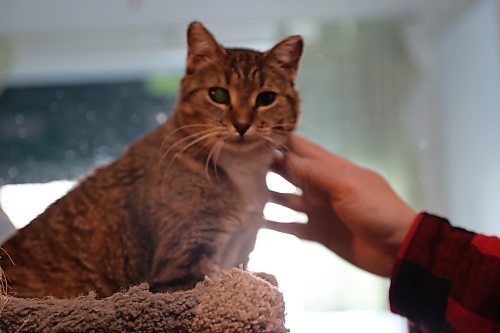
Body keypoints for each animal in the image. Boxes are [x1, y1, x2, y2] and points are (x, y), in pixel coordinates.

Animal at [0, 22, 302, 296]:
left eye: (266, 98)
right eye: (218, 94)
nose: (241, 124)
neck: (241, 173)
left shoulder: (241, 250)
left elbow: (249, 273)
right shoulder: (182, 267)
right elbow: (223, 279)